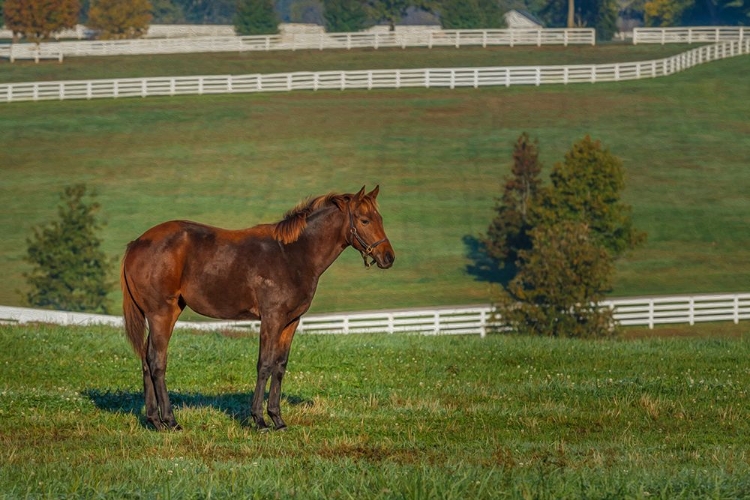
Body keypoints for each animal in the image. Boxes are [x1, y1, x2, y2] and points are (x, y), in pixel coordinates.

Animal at [120, 186, 396, 432]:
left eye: (380, 218)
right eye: (364, 220)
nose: (388, 257)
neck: (293, 255)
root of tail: (137, 243)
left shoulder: (291, 321)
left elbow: (280, 366)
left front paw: (278, 419)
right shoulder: (271, 319)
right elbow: (264, 364)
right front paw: (260, 420)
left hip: (166, 314)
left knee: (146, 360)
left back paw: (154, 421)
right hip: (161, 315)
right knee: (157, 362)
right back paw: (171, 421)